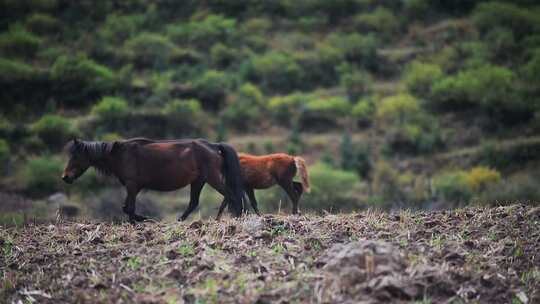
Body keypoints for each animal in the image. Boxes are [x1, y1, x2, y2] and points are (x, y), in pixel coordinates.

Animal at [61, 138, 245, 221]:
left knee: (231, 195)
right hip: (198, 181)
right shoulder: (134, 187)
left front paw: (140, 221)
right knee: (195, 203)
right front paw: (142, 219)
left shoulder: (132, 185)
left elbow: (130, 209)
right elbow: (126, 208)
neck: (121, 155)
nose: (65, 177)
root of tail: (213, 145)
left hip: (212, 179)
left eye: (75, 156)